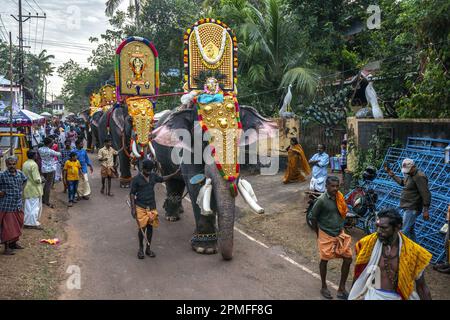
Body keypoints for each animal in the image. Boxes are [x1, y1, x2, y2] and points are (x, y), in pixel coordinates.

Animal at [152, 105, 278, 260]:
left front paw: (215, 236)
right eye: (204, 139)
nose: (228, 257)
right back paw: (172, 217)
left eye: (238, 139)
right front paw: (205, 249)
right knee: (172, 182)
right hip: (162, 157)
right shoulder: (188, 151)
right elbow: (197, 184)